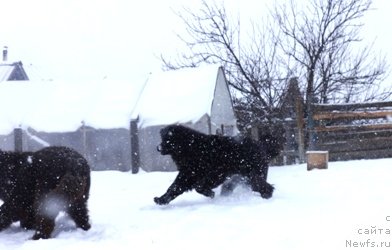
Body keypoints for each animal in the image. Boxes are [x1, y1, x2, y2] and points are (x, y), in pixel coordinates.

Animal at [154, 125, 282, 205]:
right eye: (162, 138)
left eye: (168, 140)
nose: (158, 148)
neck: (191, 148)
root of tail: (261, 146)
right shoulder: (188, 174)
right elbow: (175, 187)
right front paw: (161, 199)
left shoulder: (212, 172)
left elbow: (195, 186)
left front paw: (210, 193)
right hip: (245, 176)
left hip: (253, 174)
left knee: (262, 185)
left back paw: (266, 195)